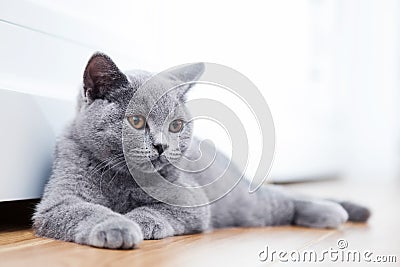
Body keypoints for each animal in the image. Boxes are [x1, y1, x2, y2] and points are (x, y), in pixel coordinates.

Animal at [32, 53, 370, 250]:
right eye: (136, 121)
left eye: (177, 125)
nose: (161, 146)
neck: (124, 181)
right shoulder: (59, 200)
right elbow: (86, 209)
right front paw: (116, 224)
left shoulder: (192, 200)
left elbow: (157, 209)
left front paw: (138, 221)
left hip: (246, 204)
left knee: (284, 199)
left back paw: (333, 211)